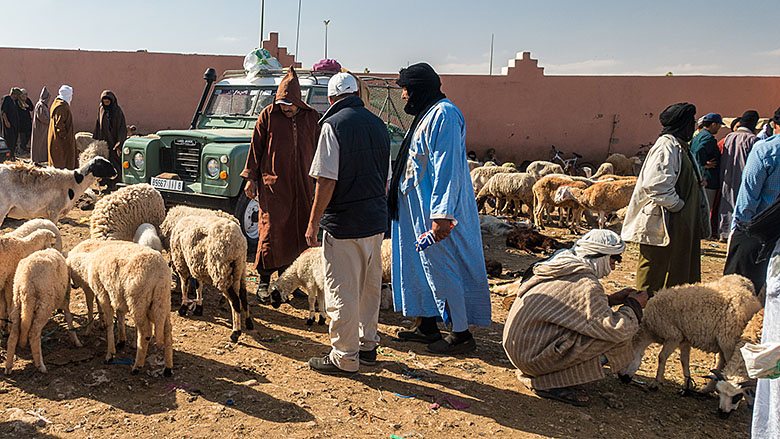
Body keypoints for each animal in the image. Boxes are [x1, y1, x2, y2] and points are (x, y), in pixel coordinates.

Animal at [67, 239, 174, 376]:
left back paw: (137, 366)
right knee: (167, 332)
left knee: (145, 333)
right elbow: (120, 316)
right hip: (163, 301)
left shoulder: (103, 294)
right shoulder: (117, 295)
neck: (89, 263)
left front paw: (110, 353)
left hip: (138, 301)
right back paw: (168, 368)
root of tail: (159, 273)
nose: (72, 286)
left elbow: (108, 322)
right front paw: (121, 341)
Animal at [620, 276, 760, 396]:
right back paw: (707, 389)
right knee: (722, 364)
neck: (649, 330)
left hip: (729, 340)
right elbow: (684, 360)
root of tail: (753, 300)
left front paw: (656, 383)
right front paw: (687, 386)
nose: (621, 378)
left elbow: (662, 357)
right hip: (724, 342)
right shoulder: (684, 339)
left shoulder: (673, 336)